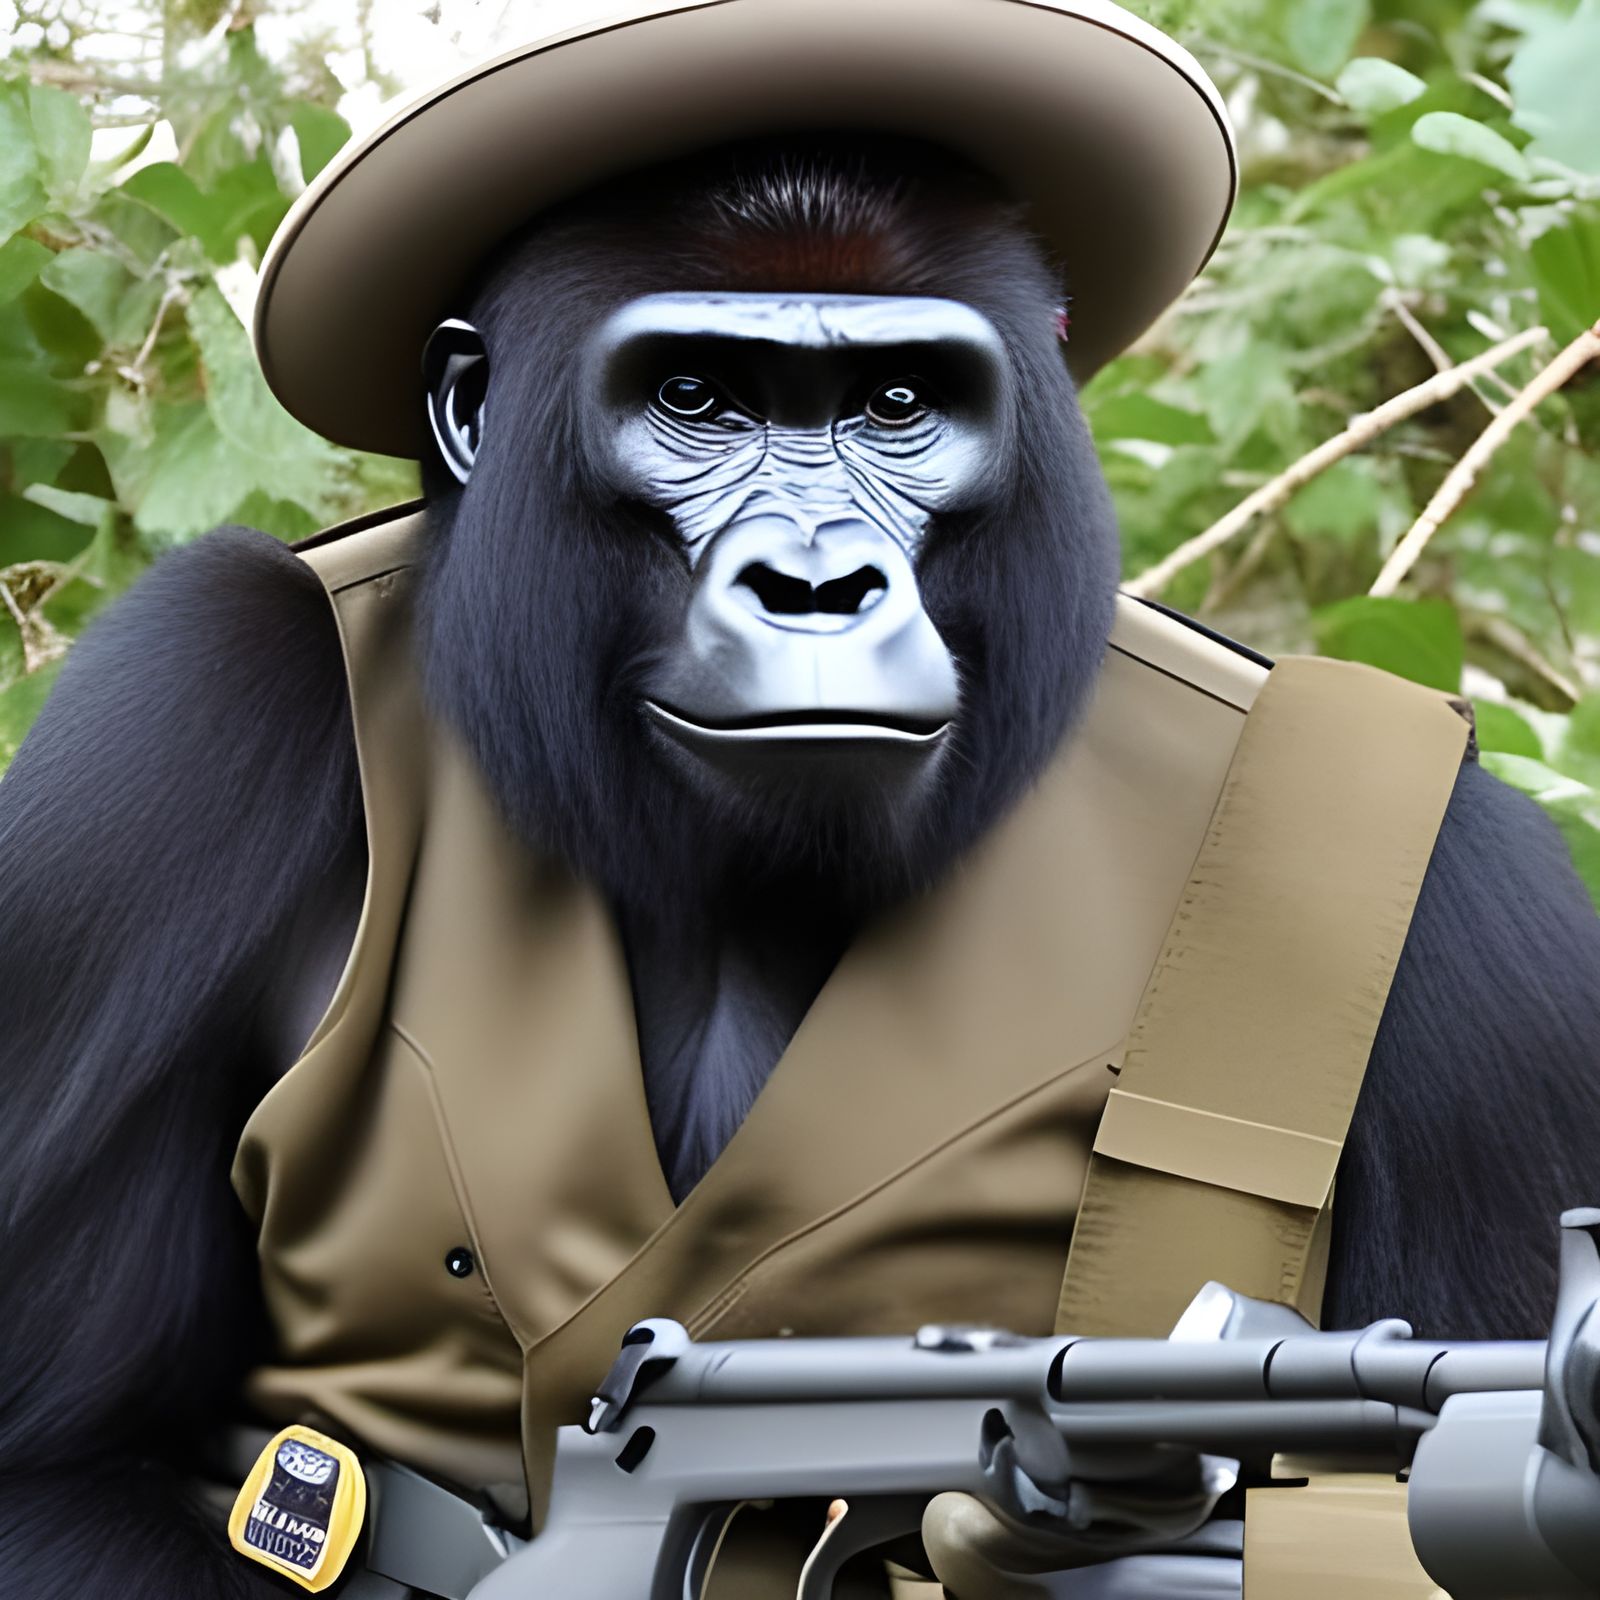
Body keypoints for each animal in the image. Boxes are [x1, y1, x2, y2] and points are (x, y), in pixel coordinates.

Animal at [2, 138, 1598, 1600]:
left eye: (897, 406)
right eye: (695, 398)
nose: (819, 586)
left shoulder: (1472, 910)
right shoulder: (193, 699)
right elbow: (50, 1461)